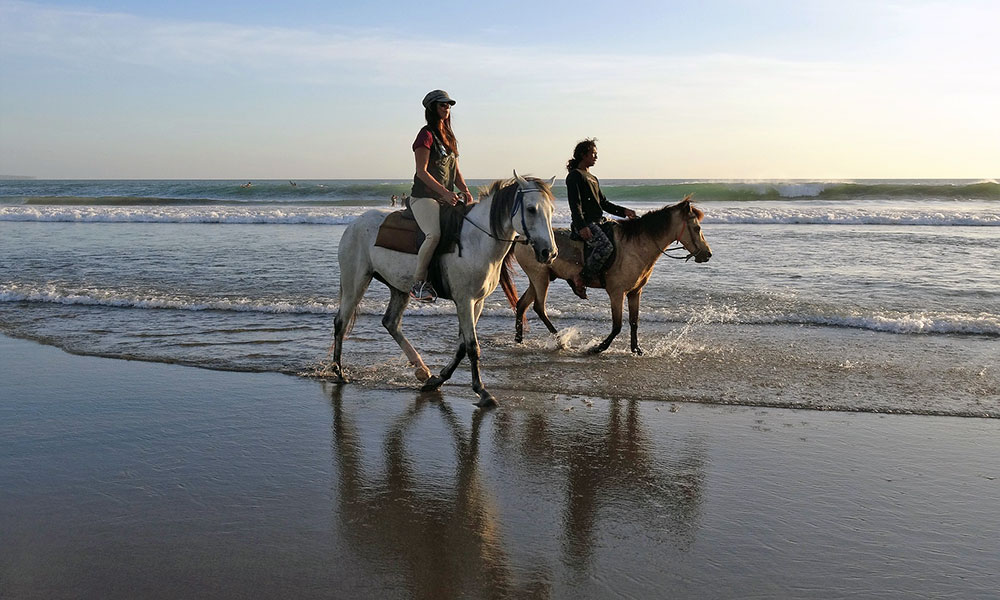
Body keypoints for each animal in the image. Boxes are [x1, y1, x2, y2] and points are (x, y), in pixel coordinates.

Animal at [332, 173, 560, 408]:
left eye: (551, 210)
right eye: (531, 209)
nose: (549, 252)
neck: (477, 241)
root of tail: (354, 224)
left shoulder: (477, 303)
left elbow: (462, 346)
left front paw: (439, 379)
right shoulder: (465, 300)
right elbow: (472, 346)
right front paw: (482, 391)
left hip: (399, 288)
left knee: (391, 323)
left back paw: (422, 370)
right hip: (355, 282)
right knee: (341, 322)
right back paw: (339, 372)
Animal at [508, 197, 712, 356]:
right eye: (696, 228)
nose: (707, 254)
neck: (636, 247)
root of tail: (520, 238)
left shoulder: (635, 292)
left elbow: (634, 322)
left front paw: (636, 349)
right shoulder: (616, 292)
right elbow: (617, 325)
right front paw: (598, 348)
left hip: (538, 278)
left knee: (522, 304)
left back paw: (519, 340)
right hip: (540, 277)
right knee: (539, 308)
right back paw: (560, 341)